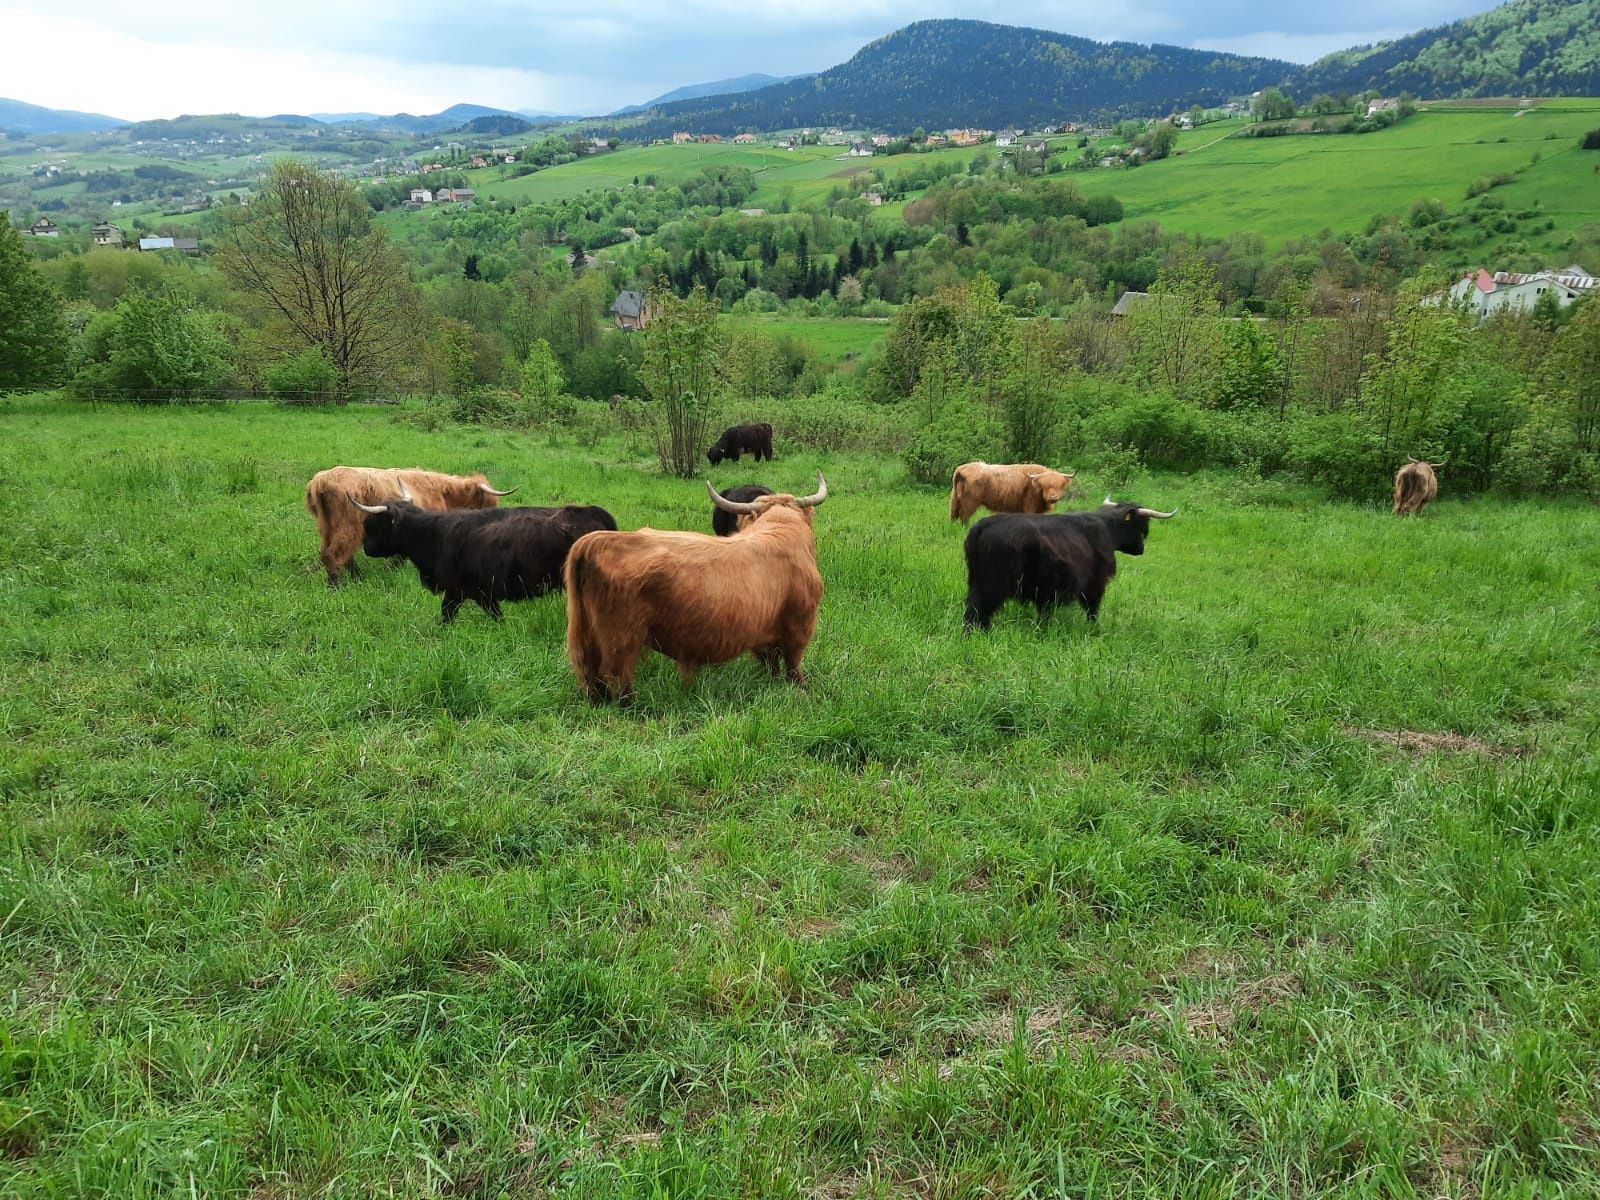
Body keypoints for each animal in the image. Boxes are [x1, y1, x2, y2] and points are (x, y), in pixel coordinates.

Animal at [302, 464, 515, 588]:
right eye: (488, 503)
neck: (442, 493)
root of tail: (322, 481)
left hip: (328, 526)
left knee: (333, 553)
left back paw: (357, 578)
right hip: (349, 525)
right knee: (335, 554)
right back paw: (335, 587)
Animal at [350, 499, 617, 630]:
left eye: (374, 524)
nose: (366, 548)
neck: (433, 535)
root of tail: (595, 513)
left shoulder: (460, 590)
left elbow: (446, 616)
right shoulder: (482, 594)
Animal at [563, 476, 832, 704]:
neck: (780, 526)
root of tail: (598, 541)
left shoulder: (763, 630)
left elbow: (772, 663)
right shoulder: (800, 623)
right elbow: (793, 663)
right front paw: (801, 688)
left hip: (588, 633)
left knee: (591, 672)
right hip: (621, 637)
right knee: (616, 675)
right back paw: (634, 706)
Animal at [947, 464, 1075, 524]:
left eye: (1060, 485)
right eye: (1045, 485)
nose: (1053, 497)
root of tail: (961, 468)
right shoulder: (1030, 507)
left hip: (955, 499)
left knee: (954, 515)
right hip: (970, 502)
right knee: (964, 517)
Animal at [960, 499, 1177, 633]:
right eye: (1142, 528)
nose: (1141, 549)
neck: (1107, 528)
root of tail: (981, 527)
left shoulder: (1046, 592)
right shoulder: (1094, 584)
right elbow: (1092, 609)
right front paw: (1093, 628)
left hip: (975, 581)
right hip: (993, 585)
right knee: (979, 611)